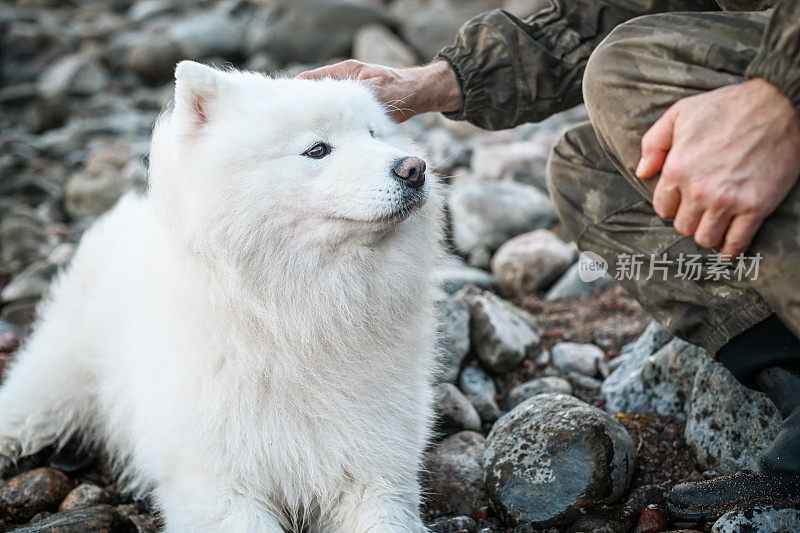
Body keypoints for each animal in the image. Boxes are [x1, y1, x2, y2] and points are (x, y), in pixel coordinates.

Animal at [0, 60, 438, 528]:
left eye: (374, 134)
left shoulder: (377, 471)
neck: (297, 316)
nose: (414, 167)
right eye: (318, 150)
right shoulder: (217, 484)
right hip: (53, 383)